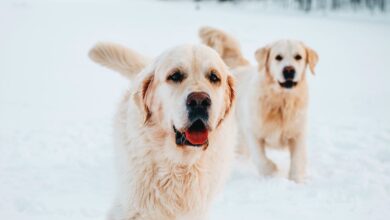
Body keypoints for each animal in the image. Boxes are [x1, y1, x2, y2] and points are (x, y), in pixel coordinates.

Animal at [200, 26, 318, 183]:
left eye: (298, 57)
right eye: (278, 57)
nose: (289, 70)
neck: (281, 101)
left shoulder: (297, 133)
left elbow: (298, 159)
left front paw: (295, 180)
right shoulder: (253, 131)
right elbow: (261, 158)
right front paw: (271, 172)